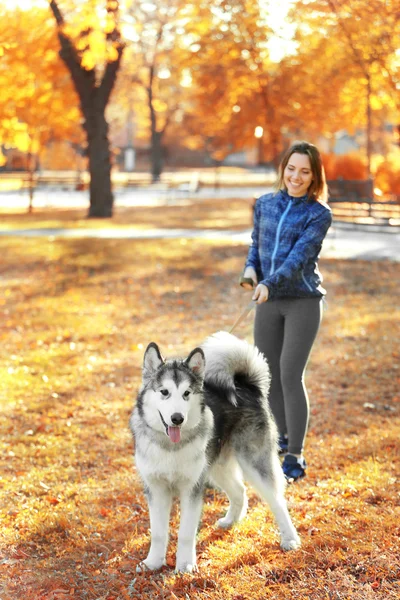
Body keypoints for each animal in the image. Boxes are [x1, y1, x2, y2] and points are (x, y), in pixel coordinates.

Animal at [130, 330, 302, 576]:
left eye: (186, 393)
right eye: (164, 392)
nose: (177, 418)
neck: (171, 447)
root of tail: (244, 386)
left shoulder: (192, 489)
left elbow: (185, 533)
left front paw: (185, 565)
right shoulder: (156, 489)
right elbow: (159, 532)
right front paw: (153, 562)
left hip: (254, 464)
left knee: (277, 500)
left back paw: (290, 539)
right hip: (215, 467)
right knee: (240, 491)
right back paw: (231, 521)